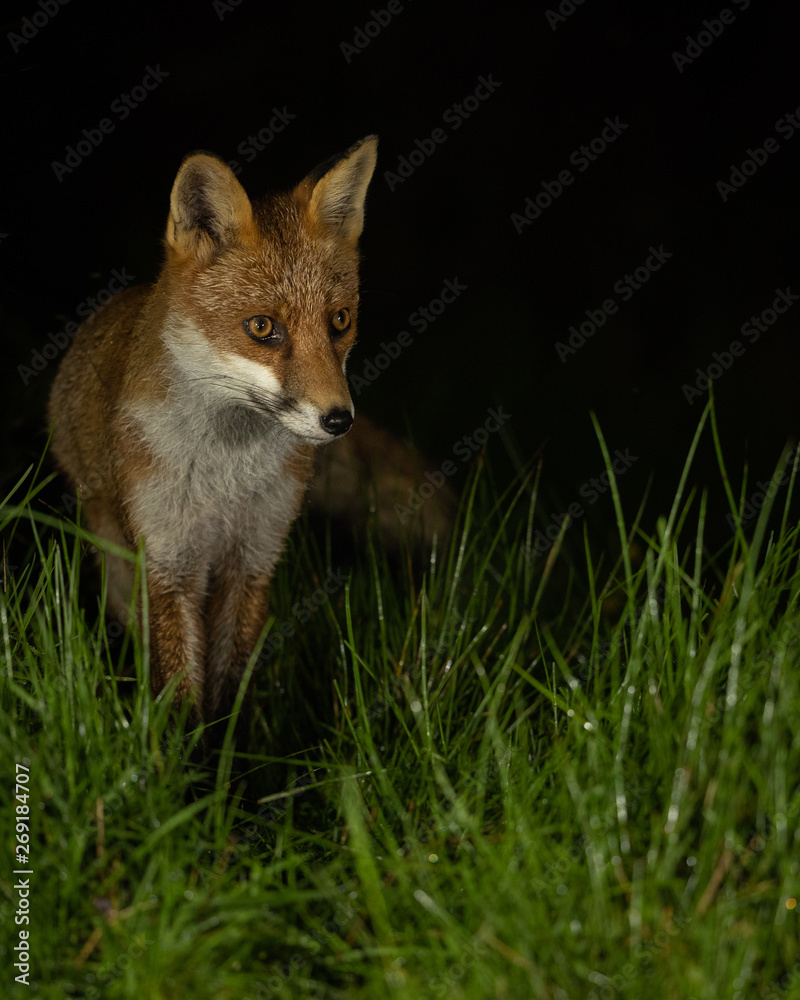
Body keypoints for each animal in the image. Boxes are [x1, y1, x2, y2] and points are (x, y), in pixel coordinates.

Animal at [47, 136, 386, 725]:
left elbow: (229, 691)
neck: (225, 479)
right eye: (262, 327)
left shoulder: (253, 557)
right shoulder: (167, 561)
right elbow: (182, 693)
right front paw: (179, 753)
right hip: (117, 559)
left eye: (340, 321)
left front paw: (230, 751)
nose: (338, 420)